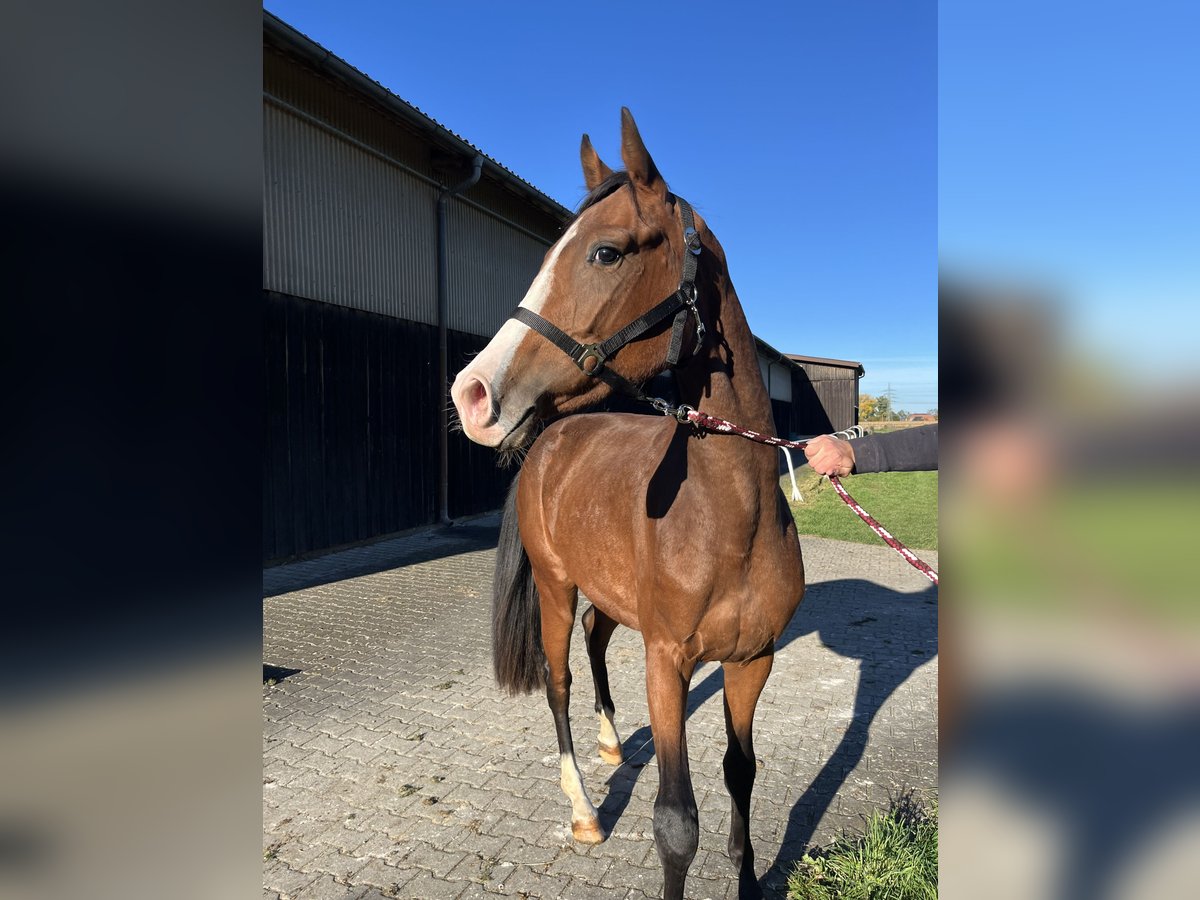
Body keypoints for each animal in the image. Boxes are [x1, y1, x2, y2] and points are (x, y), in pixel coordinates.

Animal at [450, 108, 805, 900]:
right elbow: (677, 823)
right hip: (555, 589)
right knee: (559, 680)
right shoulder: (666, 663)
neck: (729, 517)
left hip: (607, 596)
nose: (473, 394)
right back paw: (584, 808)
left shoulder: (752, 661)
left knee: (592, 636)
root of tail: (551, 438)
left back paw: (614, 742)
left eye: (605, 252)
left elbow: (741, 773)